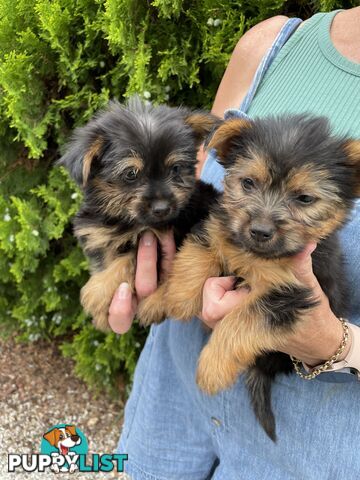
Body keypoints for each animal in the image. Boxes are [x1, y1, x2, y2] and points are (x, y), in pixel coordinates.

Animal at [60, 96, 218, 330]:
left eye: (176, 169)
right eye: (131, 174)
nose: (162, 208)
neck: (124, 219)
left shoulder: (156, 238)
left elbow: (128, 257)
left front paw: (98, 291)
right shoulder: (97, 236)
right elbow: (105, 260)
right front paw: (102, 306)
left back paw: (154, 303)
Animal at [138, 114, 360, 440]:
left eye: (305, 198)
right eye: (248, 183)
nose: (260, 231)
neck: (255, 254)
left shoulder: (289, 293)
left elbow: (242, 319)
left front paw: (212, 367)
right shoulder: (219, 228)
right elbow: (199, 252)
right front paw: (175, 296)